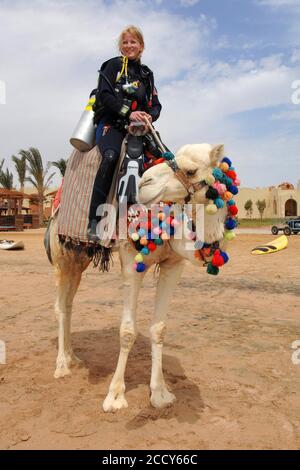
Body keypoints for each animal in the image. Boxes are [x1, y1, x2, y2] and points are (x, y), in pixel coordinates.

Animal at [48, 142, 227, 412]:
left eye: (191, 170)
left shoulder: (174, 265)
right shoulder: (131, 262)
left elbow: (159, 328)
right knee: (60, 306)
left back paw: (72, 357)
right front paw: (114, 396)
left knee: (68, 303)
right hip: (63, 254)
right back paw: (61, 366)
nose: (144, 184)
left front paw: (161, 394)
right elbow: (127, 331)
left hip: (80, 258)